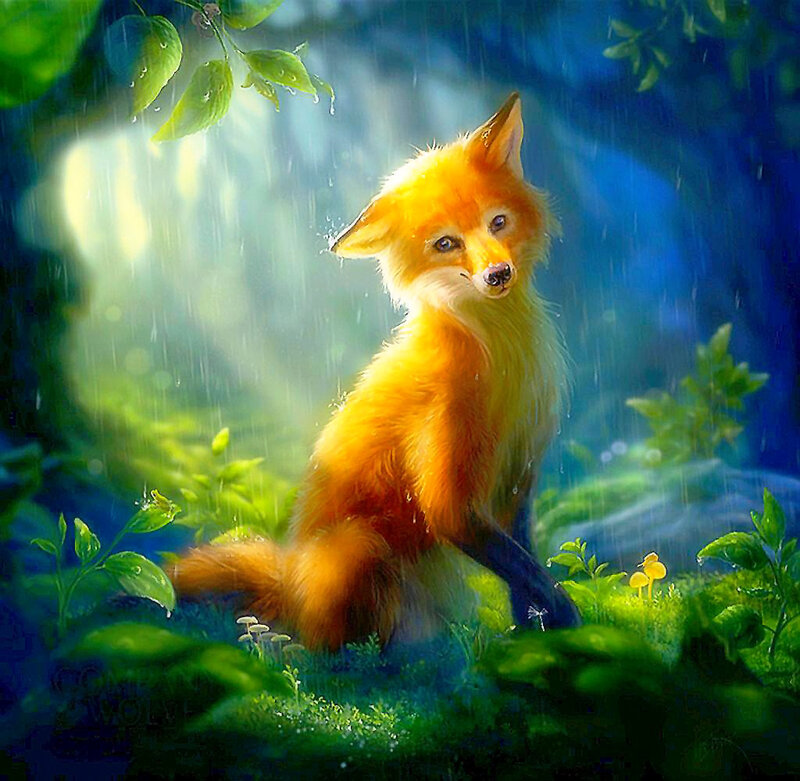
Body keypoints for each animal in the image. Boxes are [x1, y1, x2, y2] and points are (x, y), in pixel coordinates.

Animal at [170, 93, 581, 649]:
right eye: (446, 244)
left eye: (498, 223)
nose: (498, 275)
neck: (498, 361)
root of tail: (290, 584)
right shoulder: (450, 491)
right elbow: (521, 566)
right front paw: (564, 617)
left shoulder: (518, 474)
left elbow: (524, 569)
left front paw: (535, 635)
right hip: (358, 545)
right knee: (333, 646)